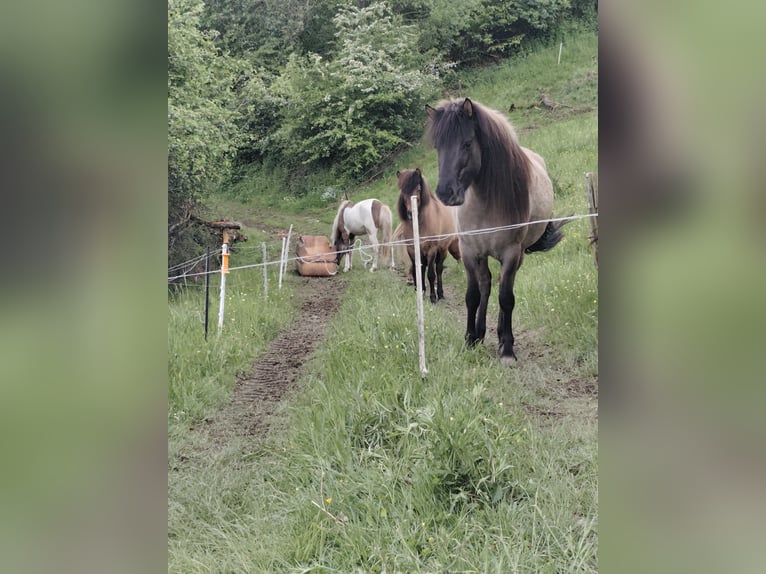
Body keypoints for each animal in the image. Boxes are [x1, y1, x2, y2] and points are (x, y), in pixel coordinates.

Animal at [395, 168, 461, 303]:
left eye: (418, 189)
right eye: (402, 190)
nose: (410, 213)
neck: (420, 224)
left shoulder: (431, 250)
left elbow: (431, 274)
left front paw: (432, 297)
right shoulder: (412, 249)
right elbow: (417, 270)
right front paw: (419, 291)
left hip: (442, 250)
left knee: (438, 270)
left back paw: (440, 293)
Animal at [426, 97, 568, 364]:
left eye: (467, 143)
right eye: (438, 147)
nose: (445, 193)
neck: (485, 204)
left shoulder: (510, 254)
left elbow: (506, 298)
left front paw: (508, 349)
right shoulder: (469, 252)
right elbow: (473, 296)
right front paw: (470, 339)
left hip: (518, 255)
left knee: (502, 286)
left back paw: (501, 335)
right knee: (486, 285)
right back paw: (480, 333)